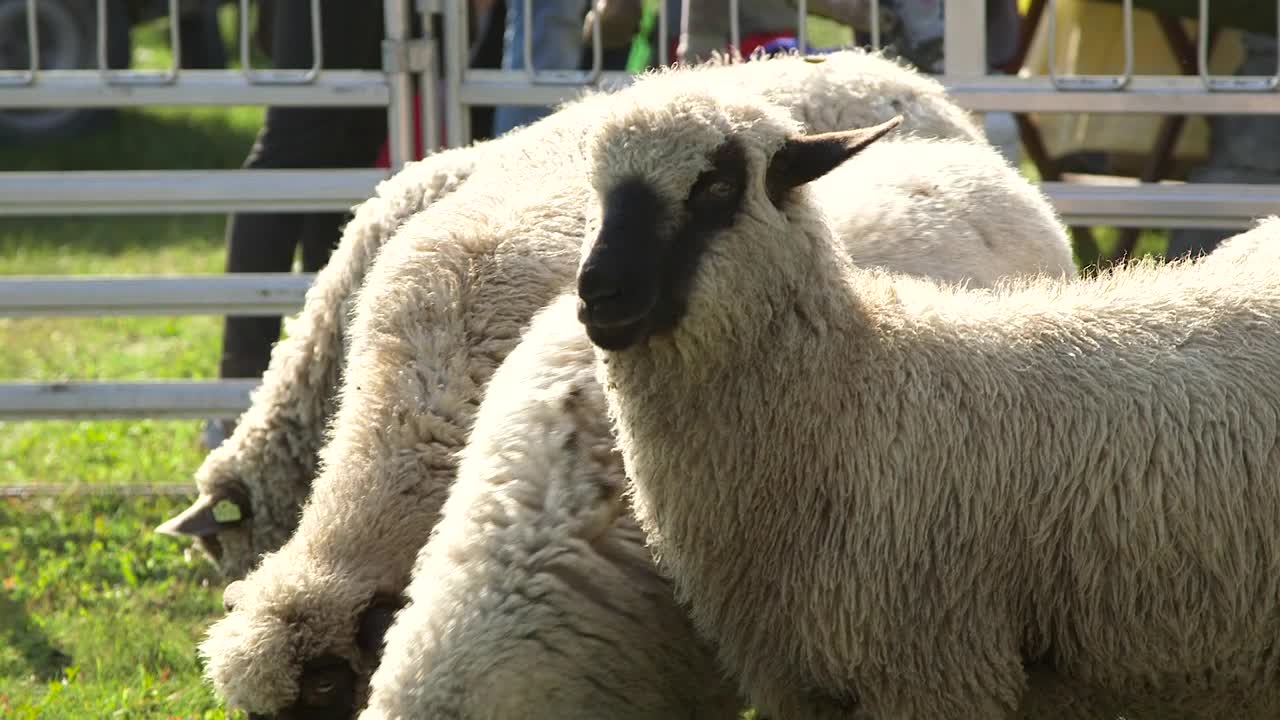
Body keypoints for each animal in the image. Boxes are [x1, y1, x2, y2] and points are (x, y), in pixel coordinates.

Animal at [578, 79, 1280, 717]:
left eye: (717, 187)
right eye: (596, 190)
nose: (598, 293)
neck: (854, 386)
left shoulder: (931, 666)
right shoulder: (801, 683)